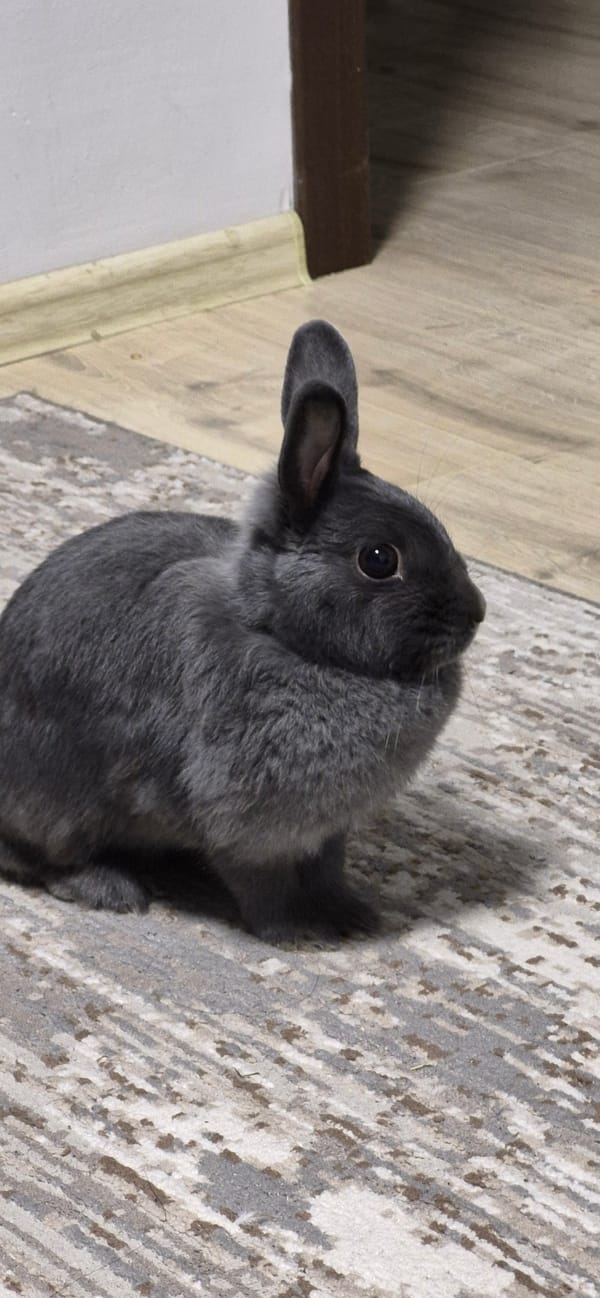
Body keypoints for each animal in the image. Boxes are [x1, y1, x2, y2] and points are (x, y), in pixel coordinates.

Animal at [0, 320, 485, 943]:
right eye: (379, 559)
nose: (476, 613)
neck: (283, 637)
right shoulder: (246, 824)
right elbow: (262, 886)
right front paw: (294, 933)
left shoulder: (327, 829)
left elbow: (328, 870)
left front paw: (351, 914)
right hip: (59, 804)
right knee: (37, 857)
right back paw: (111, 889)